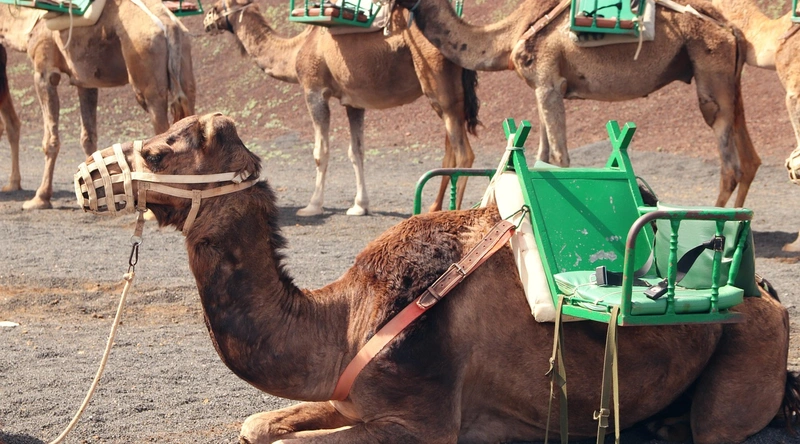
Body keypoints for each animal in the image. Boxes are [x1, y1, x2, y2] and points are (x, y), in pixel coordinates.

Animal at [0, 0, 195, 210]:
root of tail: (170, 26)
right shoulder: (85, 82)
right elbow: (89, 139)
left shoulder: (44, 72)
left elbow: (50, 141)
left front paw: (40, 198)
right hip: (185, 70)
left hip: (146, 76)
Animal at [77, 112, 800, 443]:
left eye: (160, 149)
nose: (88, 180)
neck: (345, 320)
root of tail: (766, 294)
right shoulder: (349, 397)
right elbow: (257, 427)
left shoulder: (420, 424)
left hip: (743, 359)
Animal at [203, 0, 479, 216]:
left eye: (217, 6)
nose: (205, 22)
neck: (297, 50)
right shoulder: (354, 102)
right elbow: (356, 152)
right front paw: (360, 206)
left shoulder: (314, 90)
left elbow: (321, 151)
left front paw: (312, 206)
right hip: (450, 96)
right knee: (450, 148)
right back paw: (435, 208)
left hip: (437, 82)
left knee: (464, 152)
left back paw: (454, 212)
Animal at [394, 0, 760, 209]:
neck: (506, 39)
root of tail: (732, 29)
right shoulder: (545, 87)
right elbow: (541, 156)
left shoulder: (548, 81)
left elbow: (559, 158)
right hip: (730, 78)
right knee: (748, 156)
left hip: (710, 69)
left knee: (730, 162)